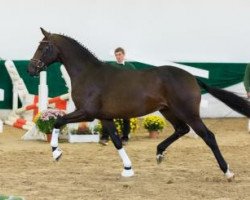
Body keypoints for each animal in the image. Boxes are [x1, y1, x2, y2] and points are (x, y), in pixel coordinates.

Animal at [27, 27, 250, 180]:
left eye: (43, 47)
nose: (31, 69)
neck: (88, 74)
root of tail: (193, 78)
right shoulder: (104, 117)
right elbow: (116, 141)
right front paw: (128, 169)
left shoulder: (87, 113)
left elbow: (58, 121)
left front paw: (57, 153)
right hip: (169, 111)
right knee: (182, 130)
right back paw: (159, 153)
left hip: (188, 113)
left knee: (207, 136)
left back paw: (228, 172)